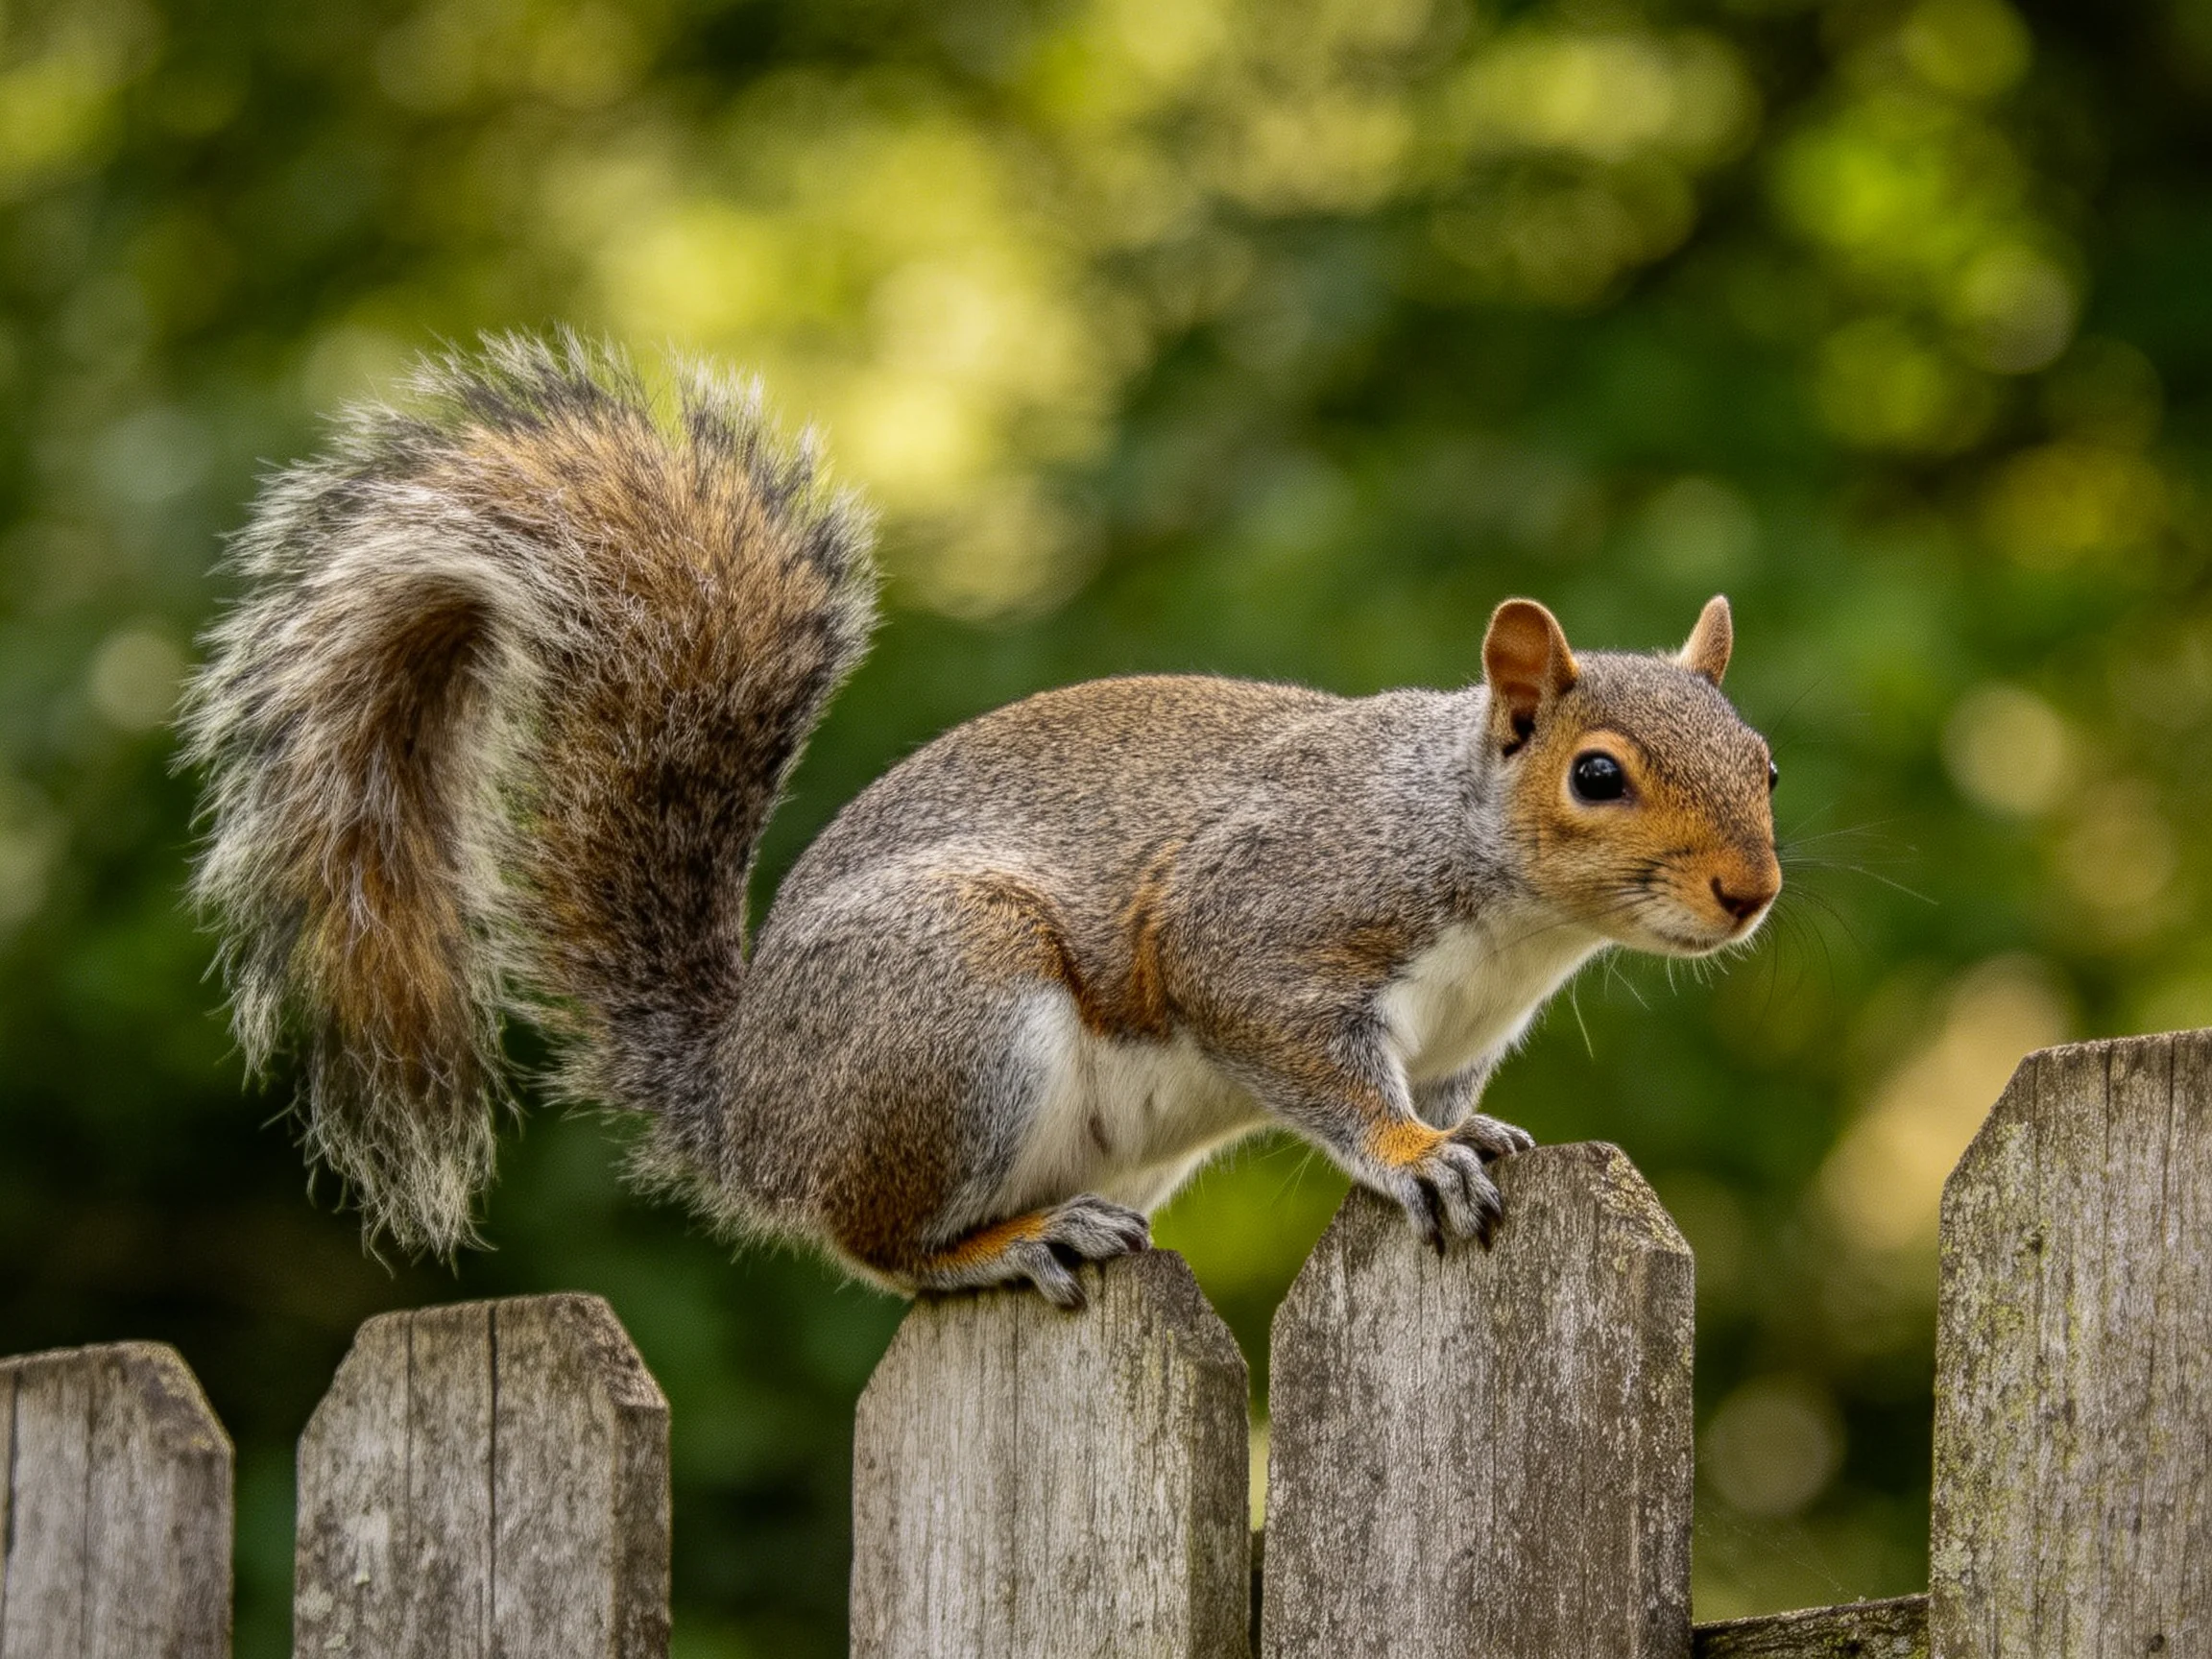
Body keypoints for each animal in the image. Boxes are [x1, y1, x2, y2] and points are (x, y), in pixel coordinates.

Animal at [182, 332, 1781, 1310]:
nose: (1750, 893)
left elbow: (1450, 1094)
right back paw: (1012, 1242)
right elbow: (1295, 1043)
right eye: (1596, 776)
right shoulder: (1274, 916)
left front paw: (1478, 1135)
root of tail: (750, 1108)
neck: (1498, 903)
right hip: (948, 1011)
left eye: (1762, 762)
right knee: (882, 1246)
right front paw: (1410, 1158)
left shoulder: (1457, 1032)